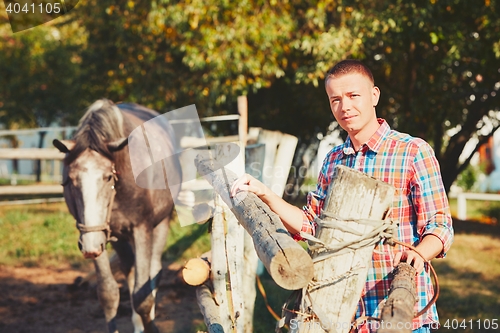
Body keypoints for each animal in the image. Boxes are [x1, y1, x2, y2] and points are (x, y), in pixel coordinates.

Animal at [53, 99, 183, 332]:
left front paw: (151, 324)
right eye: (71, 179)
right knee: (129, 269)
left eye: (107, 177)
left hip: (161, 224)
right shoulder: (99, 236)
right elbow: (109, 294)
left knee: (154, 271)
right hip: (118, 238)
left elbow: (142, 296)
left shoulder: (142, 229)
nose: (88, 246)